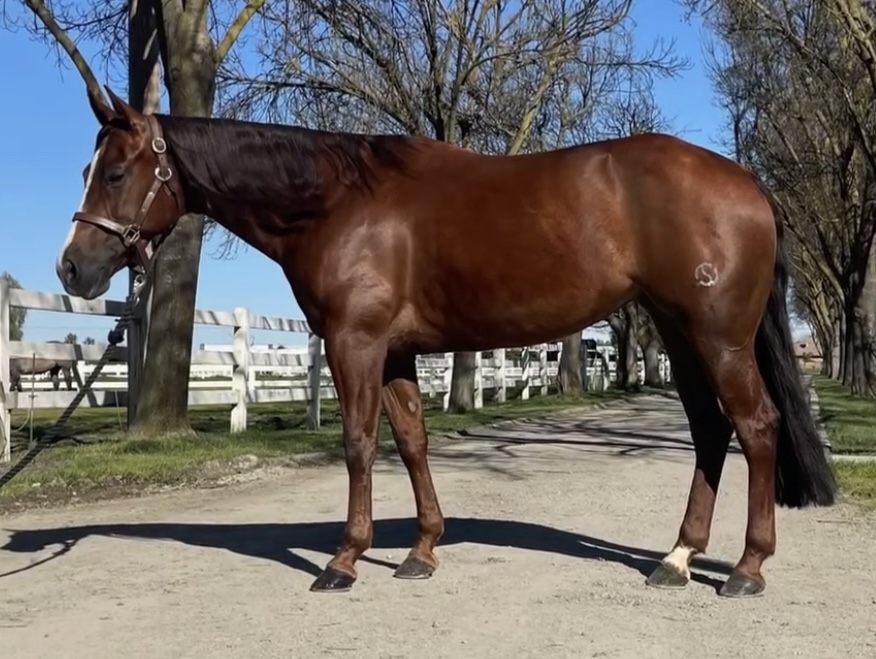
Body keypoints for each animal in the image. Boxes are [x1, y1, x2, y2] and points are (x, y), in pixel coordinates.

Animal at [54, 86, 836, 599]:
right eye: (87, 171)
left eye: (116, 172)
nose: (72, 269)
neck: (335, 202)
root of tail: (748, 184)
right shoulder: (395, 351)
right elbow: (411, 441)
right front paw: (422, 550)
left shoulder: (356, 343)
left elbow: (359, 444)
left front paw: (344, 560)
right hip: (680, 332)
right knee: (710, 430)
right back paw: (676, 559)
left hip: (718, 336)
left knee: (756, 426)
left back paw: (746, 569)